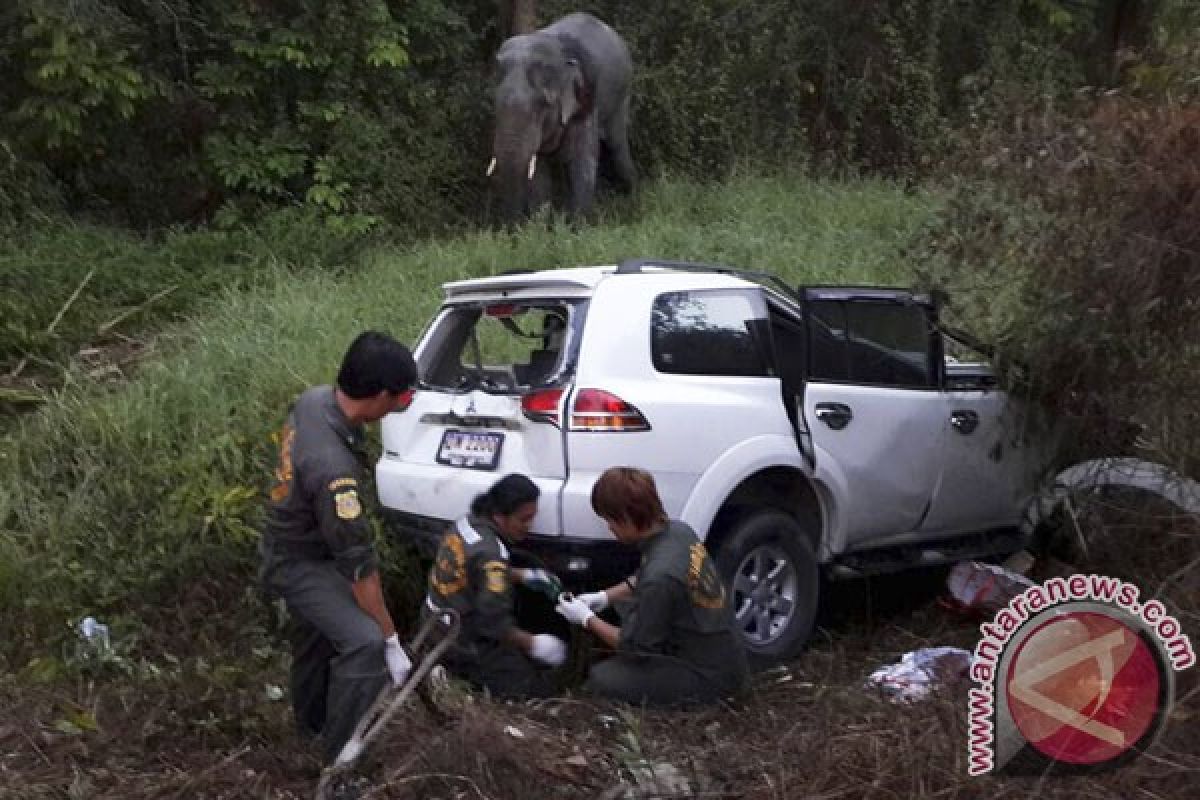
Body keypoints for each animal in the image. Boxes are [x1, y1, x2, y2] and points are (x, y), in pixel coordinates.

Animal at [487, 12, 638, 224]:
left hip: (621, 95)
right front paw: (541, 226)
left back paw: (632, 198)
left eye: (542, 105)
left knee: (616, 147)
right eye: (495, 104)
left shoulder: (585, 101)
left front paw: (578, 228)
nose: (513, 229)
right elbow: (539, 171)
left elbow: (582, 161)